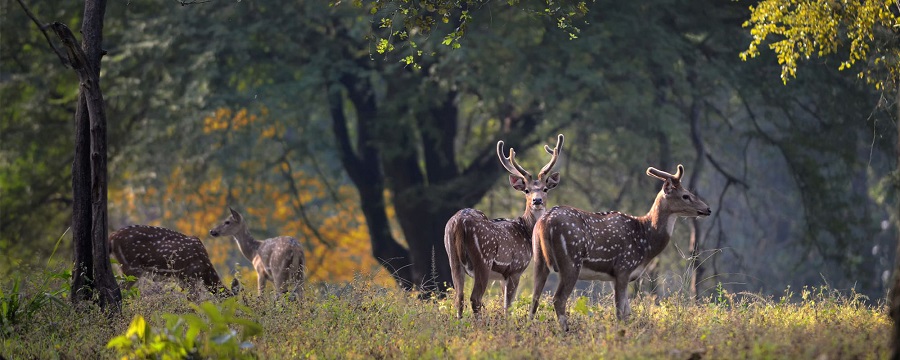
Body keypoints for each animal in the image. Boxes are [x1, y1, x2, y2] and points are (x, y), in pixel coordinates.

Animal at [108, 225, 239, 298]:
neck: (205, 270)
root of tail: (112, 237)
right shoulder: (190, 275)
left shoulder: (181, 279)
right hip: (132, 266)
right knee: (120, 288)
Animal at [446, 134, 568, 318]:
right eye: (526, 190)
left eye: (545, 189)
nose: (537, 200)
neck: (525, 230)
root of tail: (459, 222)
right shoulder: (515, 269)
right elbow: (508, 306)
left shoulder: (502, 276)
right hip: (483, 259)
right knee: (475, 298)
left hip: (452, 257)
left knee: (458, 297)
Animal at [528, 165, 712, 330]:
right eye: (685, 195)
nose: (707, 209)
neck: (646, 241)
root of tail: (545, 222)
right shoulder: (624, 267)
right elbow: (620, 313)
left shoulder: (614, 276)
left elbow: (627, 312)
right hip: (571, 261)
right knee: (558, 299)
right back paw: (566, 331)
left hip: (539, 259)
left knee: (534, 297)